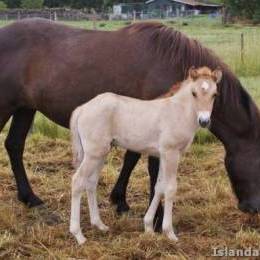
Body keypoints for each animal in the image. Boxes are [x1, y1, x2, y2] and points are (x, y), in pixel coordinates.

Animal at [68, 66, 221, 244]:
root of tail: (82, 109)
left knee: (91, 183)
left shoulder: (162, 155)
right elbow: (170, 188)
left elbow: (159, 187)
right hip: (93, 153)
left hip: (99, 153)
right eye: (194, 93)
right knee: (78, 181)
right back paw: (78, 235)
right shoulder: (171, 153)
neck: (178, 112)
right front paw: (169, 232)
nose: (204, 121)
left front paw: (148, 227)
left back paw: (99, 225)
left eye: (214, 94)